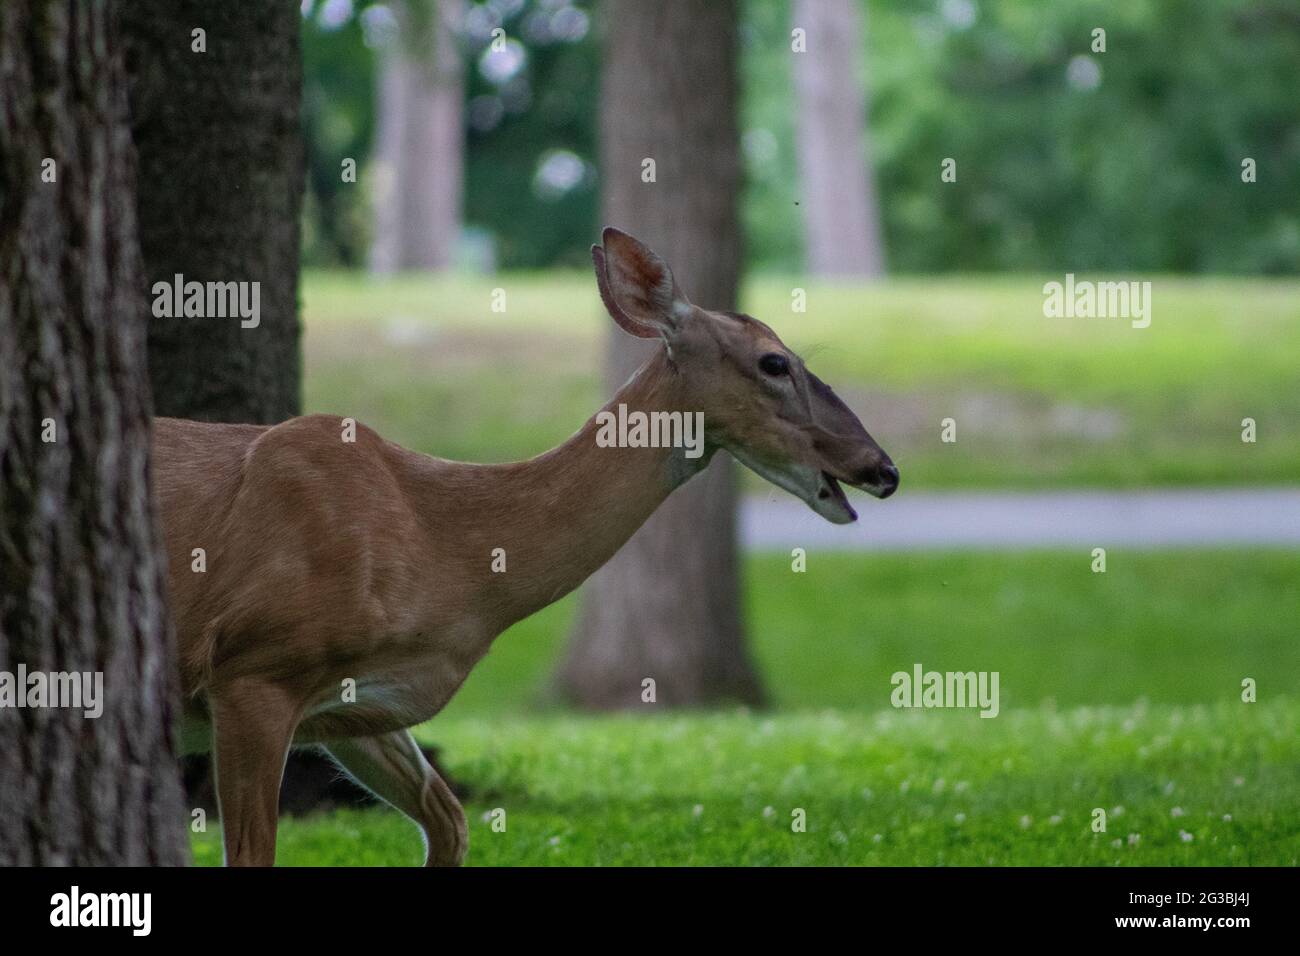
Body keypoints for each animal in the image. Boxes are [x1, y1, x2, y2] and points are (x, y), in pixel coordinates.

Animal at [152, 227, 899, 863]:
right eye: (775, 362)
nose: (882, 468)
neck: (445, 553)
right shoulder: (255, 665)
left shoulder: (361, 705)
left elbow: (451, 824)